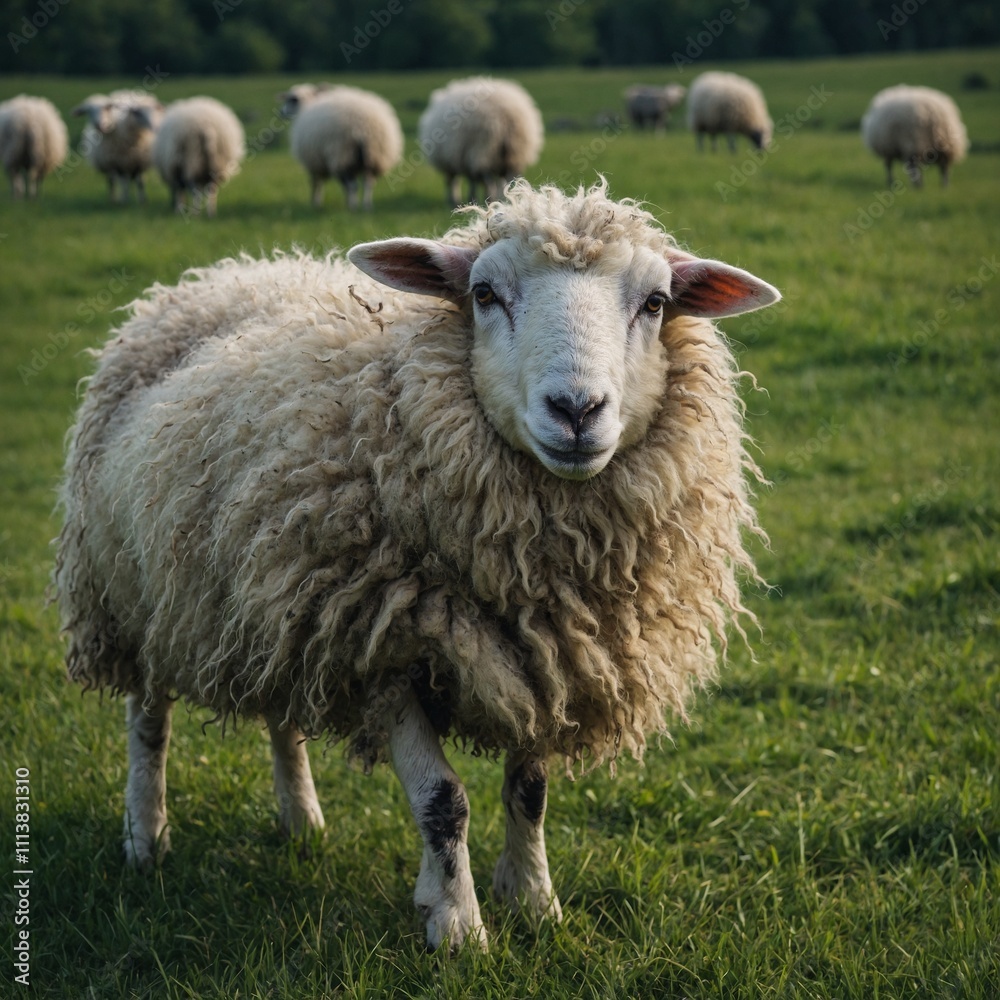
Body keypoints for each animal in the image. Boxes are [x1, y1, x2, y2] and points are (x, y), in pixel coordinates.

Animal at [56, 179, 780, 952]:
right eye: (484, 293)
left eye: (656, 302)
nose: (577, 409)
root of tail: (235, 271)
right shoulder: (389, 646)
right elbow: (442, 800)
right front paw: (459, 927)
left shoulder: (550, 658)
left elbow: (530, 791)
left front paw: (532, 901)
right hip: (131, 590)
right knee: (148, 722)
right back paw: (146, 836)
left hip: (277, 601)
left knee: (284, 713)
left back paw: (301, 821)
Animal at [418, 76, 544, 205]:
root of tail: (505, 114)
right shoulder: (468, 160)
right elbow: (475, 181)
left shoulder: (460, 159)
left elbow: (461, 181)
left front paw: (459, 199)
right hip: (514, 153)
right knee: (509, 180)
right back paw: (504, 200)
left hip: (483, 150)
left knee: (487, 181)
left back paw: (490, 200)